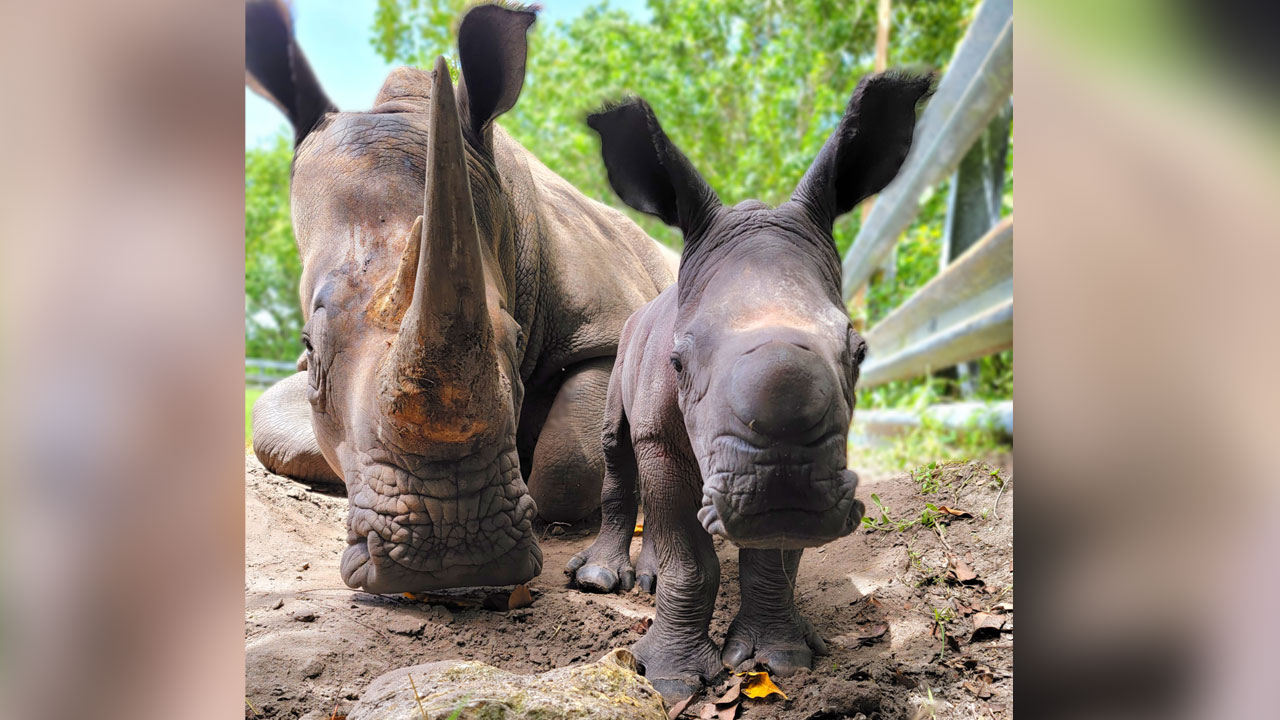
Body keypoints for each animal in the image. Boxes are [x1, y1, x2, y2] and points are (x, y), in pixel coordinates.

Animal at [245, 0, 676, 594]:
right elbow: (273, 416)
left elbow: (568, 460)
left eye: (514, 338)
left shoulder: (607, 325)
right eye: (309, 348)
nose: (454, 550)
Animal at [565, 73, 932, 697]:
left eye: (860, 353)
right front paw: (668, 680)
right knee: (616, 446)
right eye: (678, 362)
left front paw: (778, 660)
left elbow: (773, 557)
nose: (777, 489)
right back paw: (597, 580)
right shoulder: (663, 432)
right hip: (622, 348)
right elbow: (691, 558)